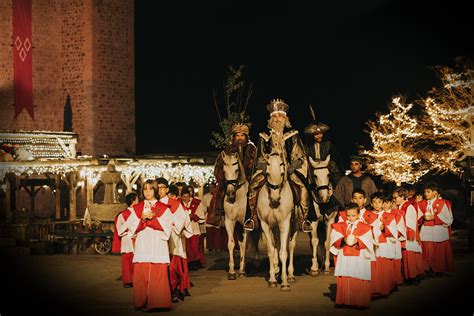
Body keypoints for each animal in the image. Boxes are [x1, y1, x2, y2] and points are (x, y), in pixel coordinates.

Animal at [221, 152, 254, 280]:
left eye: (236, 170)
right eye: (224, 170)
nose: (230, 193)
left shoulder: (246, 224)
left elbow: (245, 245)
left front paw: (242, 271)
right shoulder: (230, 222)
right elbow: (231, 244)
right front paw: (231, 272)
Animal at [258, 148, 294, 292]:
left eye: (282, 173)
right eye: (267, 173)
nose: (274, 198)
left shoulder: (285, 223)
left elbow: (283, 252)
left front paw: (284, 282)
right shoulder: (265, 225)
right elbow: (271, 251)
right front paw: (273, 279)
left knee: (291, 246)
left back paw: (290, 275)